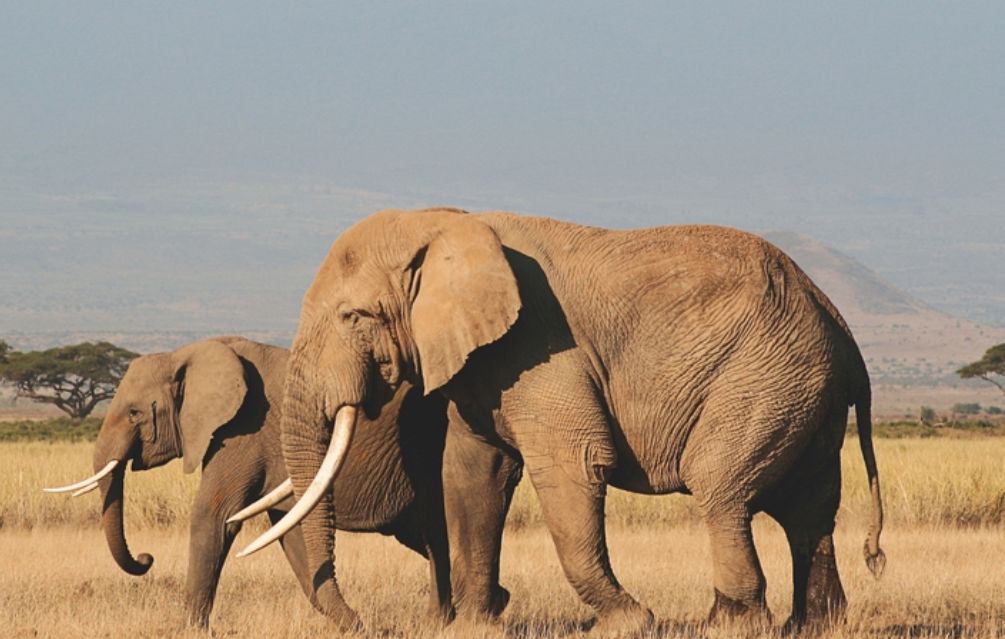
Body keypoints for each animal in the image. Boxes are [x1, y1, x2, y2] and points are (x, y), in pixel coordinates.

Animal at [45, 336, 453, 629]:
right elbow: (291, 533)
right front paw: (354, 627)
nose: (147, 558)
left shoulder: (243, 431)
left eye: (134, 414)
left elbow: (213, 515)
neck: (186, 355)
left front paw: (191, 630)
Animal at [241, 208, 885, 635]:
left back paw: (729, 623)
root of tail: (841, 326)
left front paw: (629, 623)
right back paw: (817, 624)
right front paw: (476, 627)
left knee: (723, 487)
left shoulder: (541, 345)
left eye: (354, 316)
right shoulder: (480, 362)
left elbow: (572, 467)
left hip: (763, 376)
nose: (361, 622)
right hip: (801, 389)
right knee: (808, 506)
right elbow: (475, 477)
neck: (448, 225)